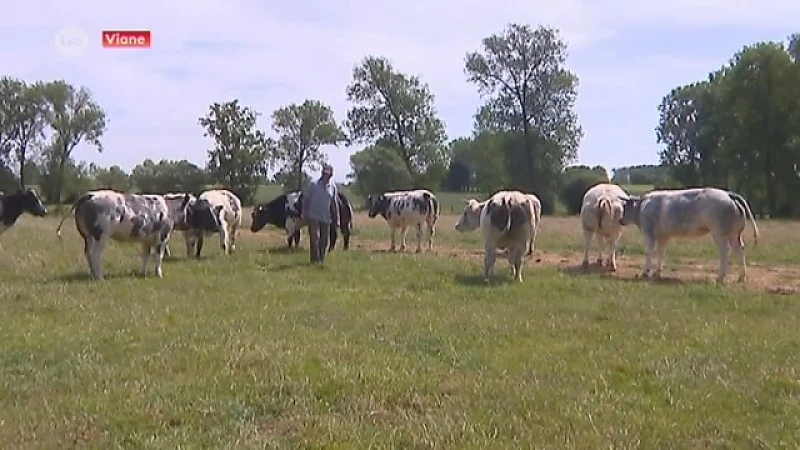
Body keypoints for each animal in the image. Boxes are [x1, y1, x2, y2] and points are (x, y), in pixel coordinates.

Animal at [620, 188, 760, 284]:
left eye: (624, 206)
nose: (620, 220)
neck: (642, 207)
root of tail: (728, 194)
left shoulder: (649, 233)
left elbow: (649, 252)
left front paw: (645, 273)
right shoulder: (663, 236)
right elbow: (660, 253)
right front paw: (657, 273)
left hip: (719, 232)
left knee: (725, 250)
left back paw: (720, 277)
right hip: (734, 233)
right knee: (739, 249)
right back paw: (741, 277)